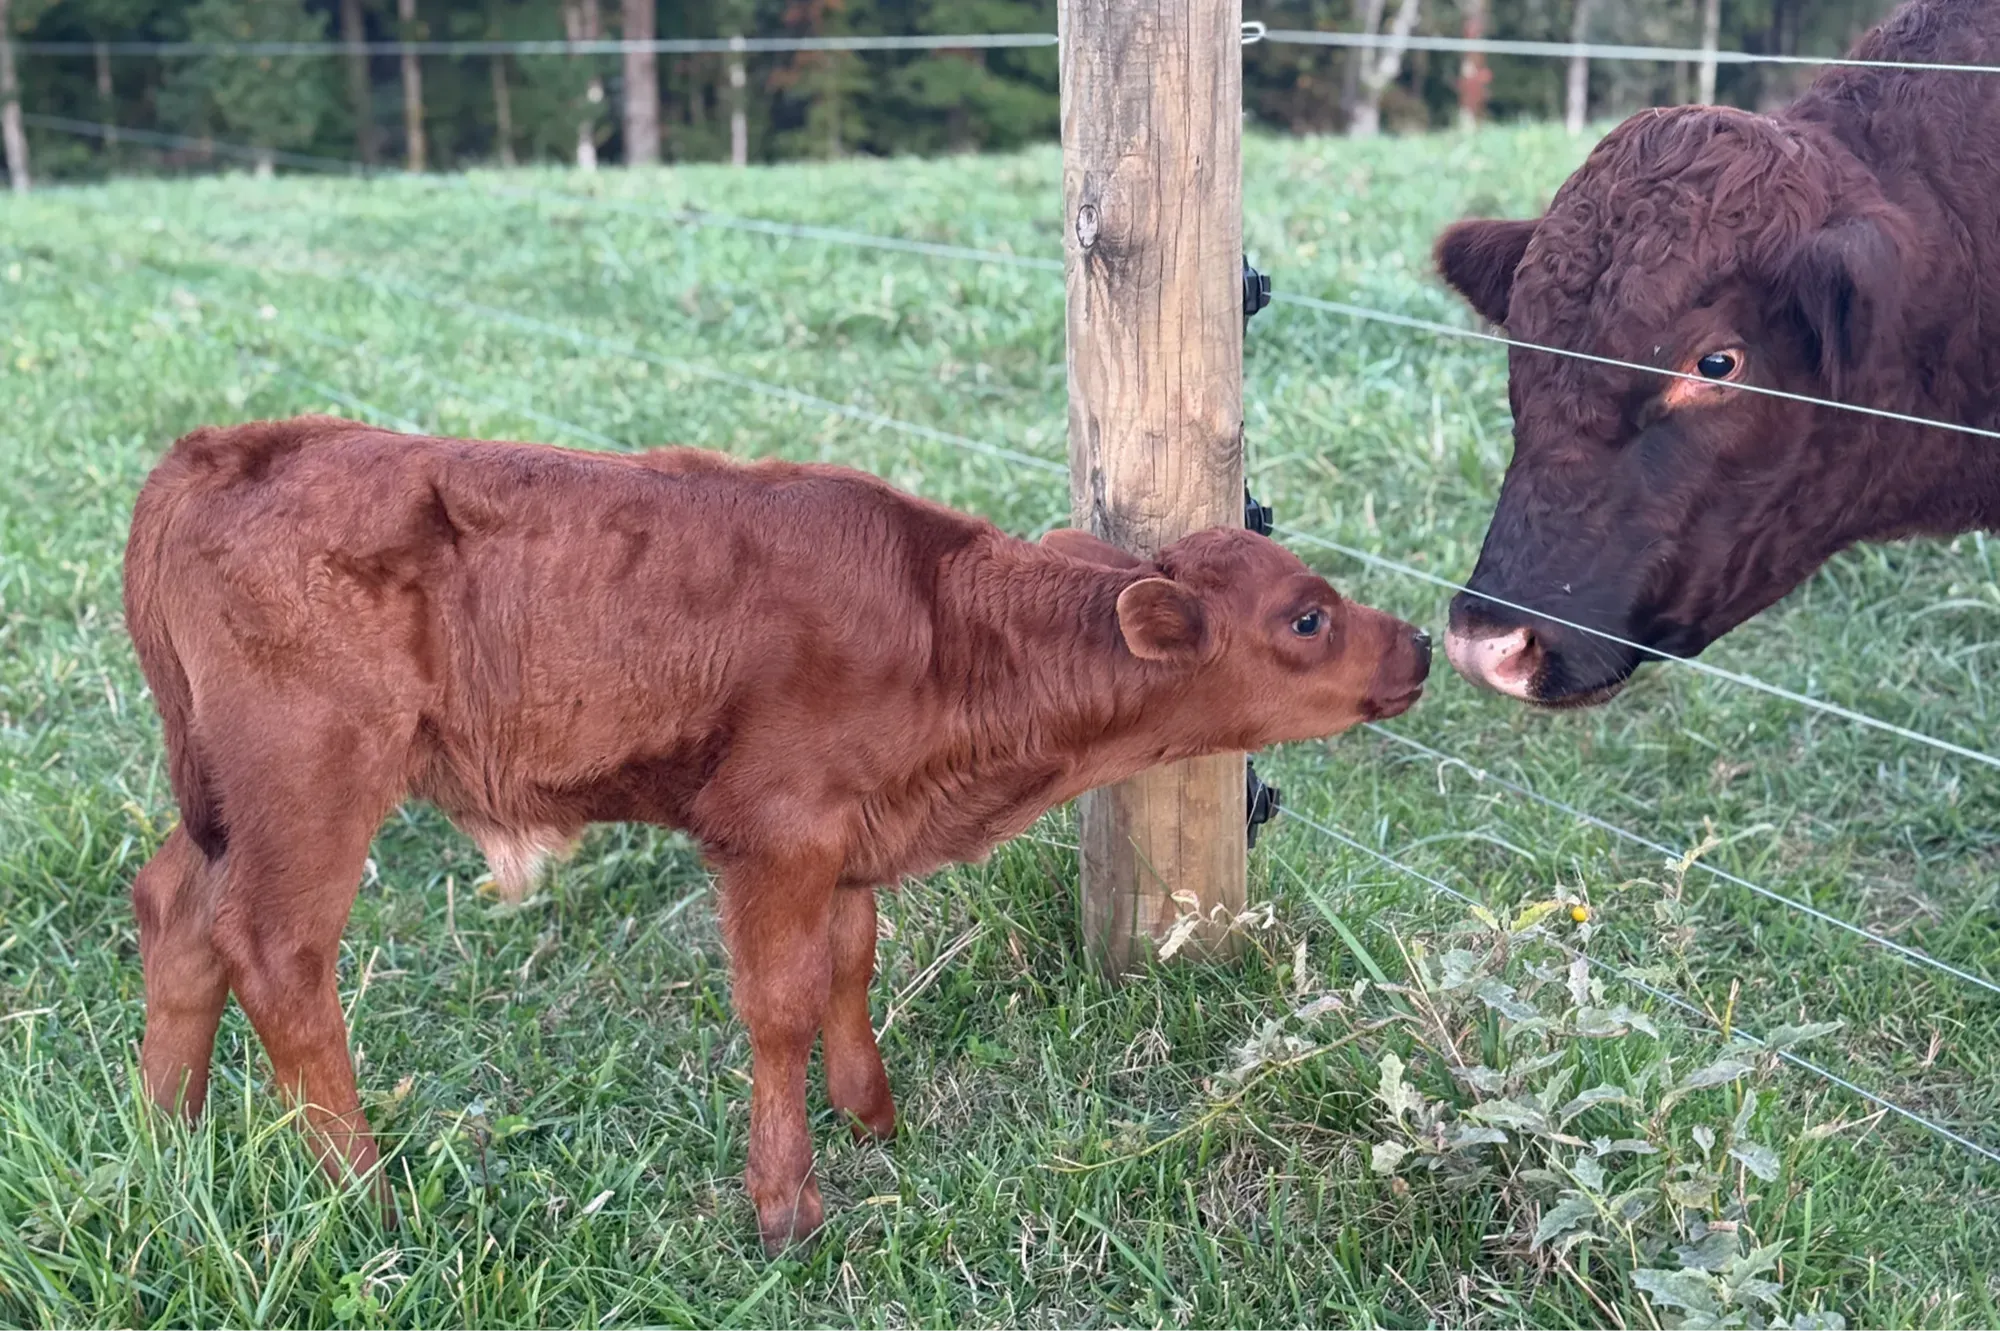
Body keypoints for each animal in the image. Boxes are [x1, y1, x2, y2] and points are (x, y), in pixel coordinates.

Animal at [123, 416, 1431, 1252]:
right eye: (1306, 616)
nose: (1418, 642)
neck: (949, 638)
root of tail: (224, 448)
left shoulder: (847, 836)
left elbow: (851, 963)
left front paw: (875, 1115)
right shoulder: (775, 831)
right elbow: (779, 1004)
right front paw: (786, 1205)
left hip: (231, 793)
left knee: (175, 907)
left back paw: (169, 1136)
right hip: (312, 773)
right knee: (276, 951)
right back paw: (362, 1194)